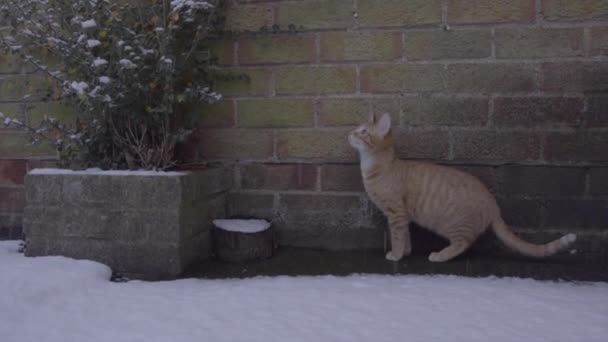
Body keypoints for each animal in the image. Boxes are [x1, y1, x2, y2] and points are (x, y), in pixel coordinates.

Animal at [350, 113, 576, 262]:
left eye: (363, 132)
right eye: (357, 129)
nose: (350, 133)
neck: (377, 165)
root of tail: (493, 204)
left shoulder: (395, 213)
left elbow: (398, 237)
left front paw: (396, 255)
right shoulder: (403, 216)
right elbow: (406, 236)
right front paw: (406, 252)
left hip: (453, 224)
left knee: (463, 243)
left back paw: (440, 255)